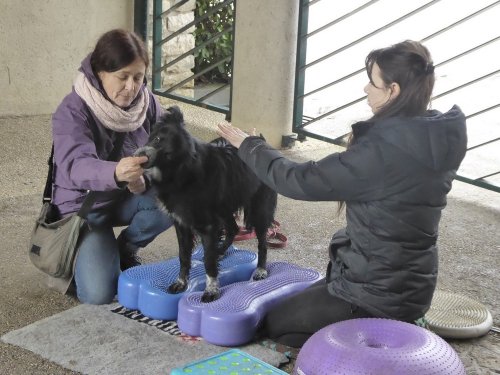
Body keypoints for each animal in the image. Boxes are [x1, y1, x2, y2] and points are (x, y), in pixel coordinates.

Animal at [135, 106, 278, 302]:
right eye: (155, 138)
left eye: (168, 155)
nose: (140, 155)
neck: (181, 175)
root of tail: (263, 140)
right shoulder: (181, 223)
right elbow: (183, 256)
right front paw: (181, 283)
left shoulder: (207, 225)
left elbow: (209, 261)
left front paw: (211, 290)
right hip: (224, 207)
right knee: (233, 229)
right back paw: (221, 250)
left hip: (259, 209)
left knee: (262, 242)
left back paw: (260, 270)